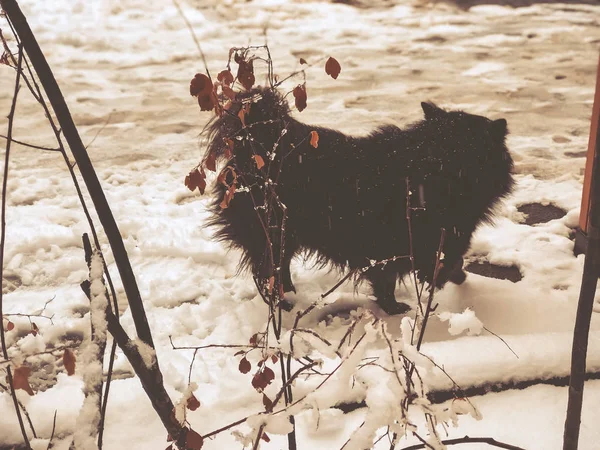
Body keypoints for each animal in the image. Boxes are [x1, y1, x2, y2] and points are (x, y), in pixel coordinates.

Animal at [204, 87, 512, 312]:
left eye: (457, 149)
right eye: (439, 147)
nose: (439, 166)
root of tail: (257, 143)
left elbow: (448, 262)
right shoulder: (394, 245)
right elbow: (399, 277)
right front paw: (396, 307)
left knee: (276, 269)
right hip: (274, 232)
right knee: (267, 270)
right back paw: (283, 303)